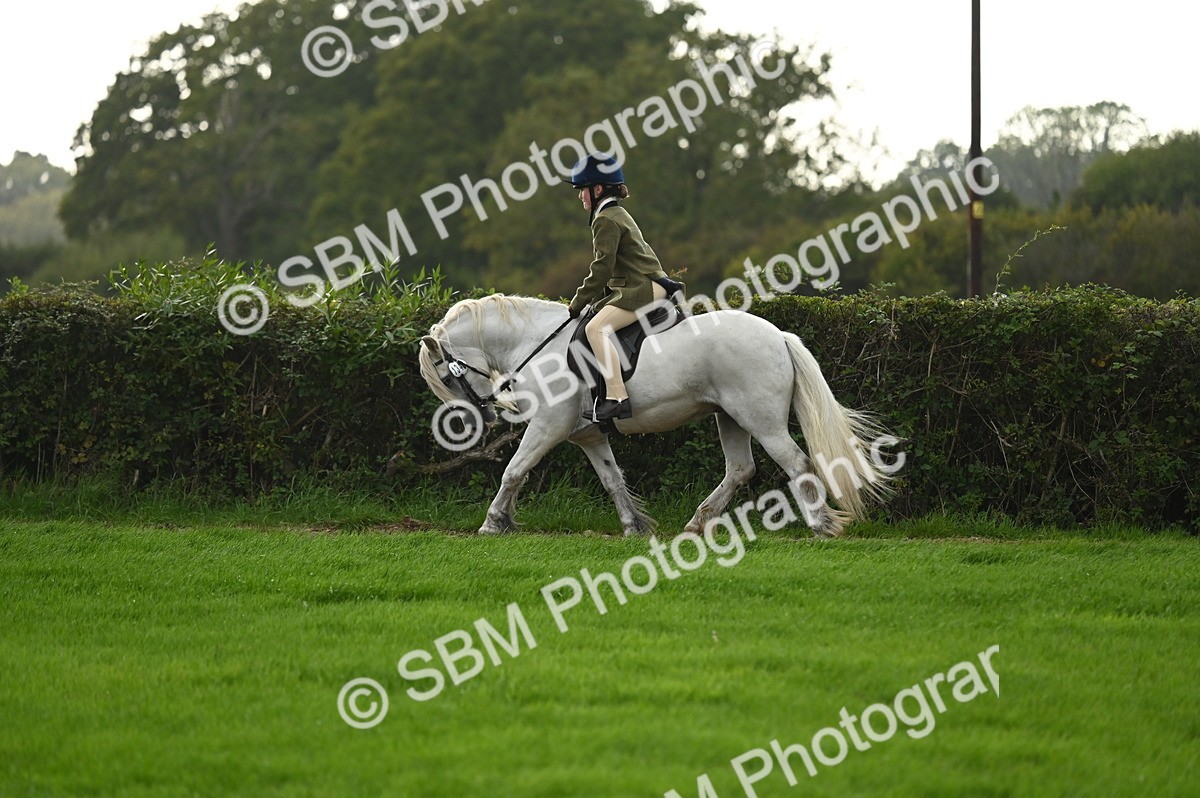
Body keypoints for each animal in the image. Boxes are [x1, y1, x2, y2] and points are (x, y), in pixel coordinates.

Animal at [418, 294, 893, 538]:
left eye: (445, 375)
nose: (484, 416)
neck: (537, 342)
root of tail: (778, 334)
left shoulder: (548, 426)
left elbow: (513, 471)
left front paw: (493, 523)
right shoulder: (587, 435)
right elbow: (612, 479)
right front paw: (634, 525)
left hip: (762, 421)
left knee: (797, 464)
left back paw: (821, 525)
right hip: (730, 417)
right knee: (740, 469)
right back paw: (697, 523)